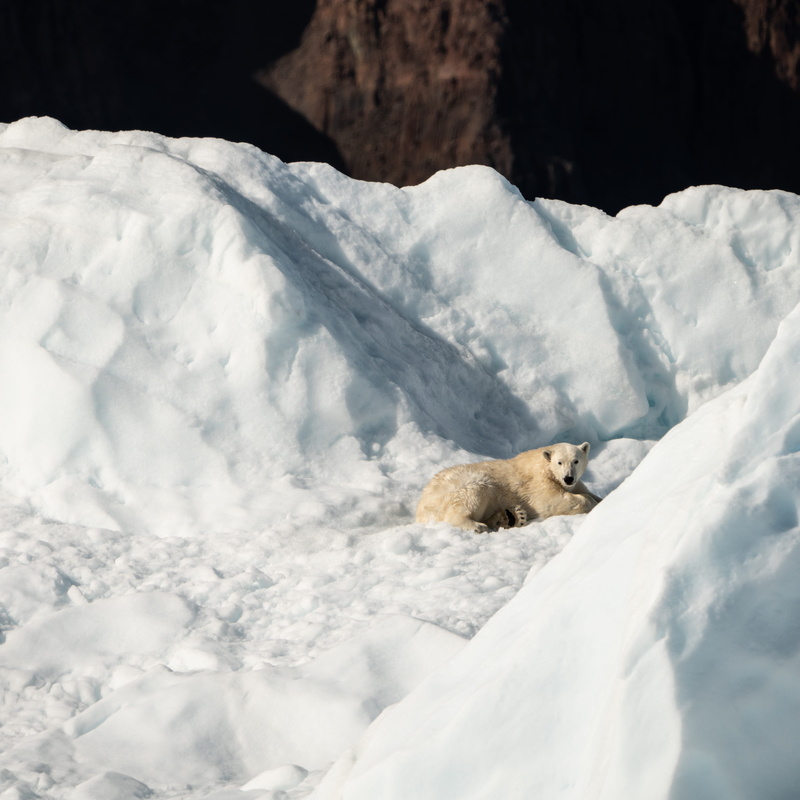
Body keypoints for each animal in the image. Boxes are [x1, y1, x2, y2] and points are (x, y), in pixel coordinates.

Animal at [415, 442, 601, 533]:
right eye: (559, 462)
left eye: (576, 461)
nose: (568, 478)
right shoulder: (537, 484)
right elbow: (551, 501)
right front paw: (590, 502)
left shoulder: (575, 484)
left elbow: (586, 492)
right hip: (460, 486)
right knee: (468, 498)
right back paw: (478, 525)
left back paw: (511, 516)